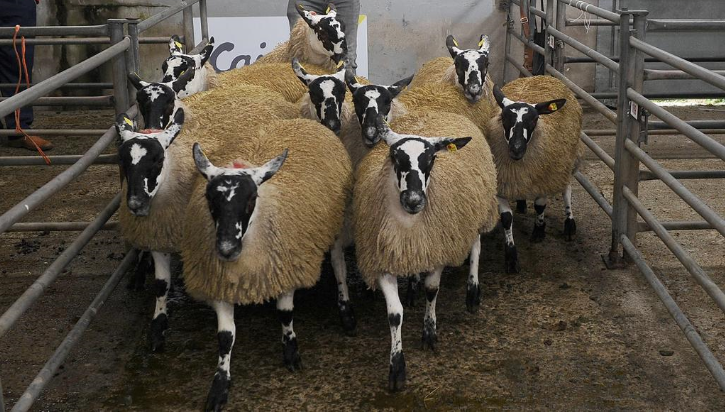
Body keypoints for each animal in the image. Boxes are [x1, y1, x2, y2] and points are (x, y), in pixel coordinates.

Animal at [117, 78, 299, 351]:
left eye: (158, 159)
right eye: (123, 161)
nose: (136, 203)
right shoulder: (159, 231)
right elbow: (161, 285)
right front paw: (157, 327)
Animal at [181, 117, 352, 410]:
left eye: (251, 199)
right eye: (209, 199)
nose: (227, 249)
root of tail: (301, 120)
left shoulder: (286, 268)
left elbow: (285, 314)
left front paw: (291, 352)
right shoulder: (219, 283)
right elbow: (225, 336)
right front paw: (220, 384)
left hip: (336, 222)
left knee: (338, 262)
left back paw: (344, 306)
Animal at [352, 113, 499, 391]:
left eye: (431, 159)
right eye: (395, 157)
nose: (414, 200)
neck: (409, 226)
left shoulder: (437, 250)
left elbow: (432, 291)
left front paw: (429, 333)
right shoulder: (383, 260)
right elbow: (395, 314)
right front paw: (397, 367)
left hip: (476, 208)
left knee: (475, 246)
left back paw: (472, 291)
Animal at [484, 75, 584, 273]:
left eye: (534, 119)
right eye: (504, 117)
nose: (516, 149)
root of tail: (543, 75)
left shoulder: (544, 179)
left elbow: (539, 206)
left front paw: (539, 231)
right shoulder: (502, 183)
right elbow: (506, 219)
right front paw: (511, 257)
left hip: (566, 161)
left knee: (566, 189)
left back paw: (569, 224)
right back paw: (522, 203)